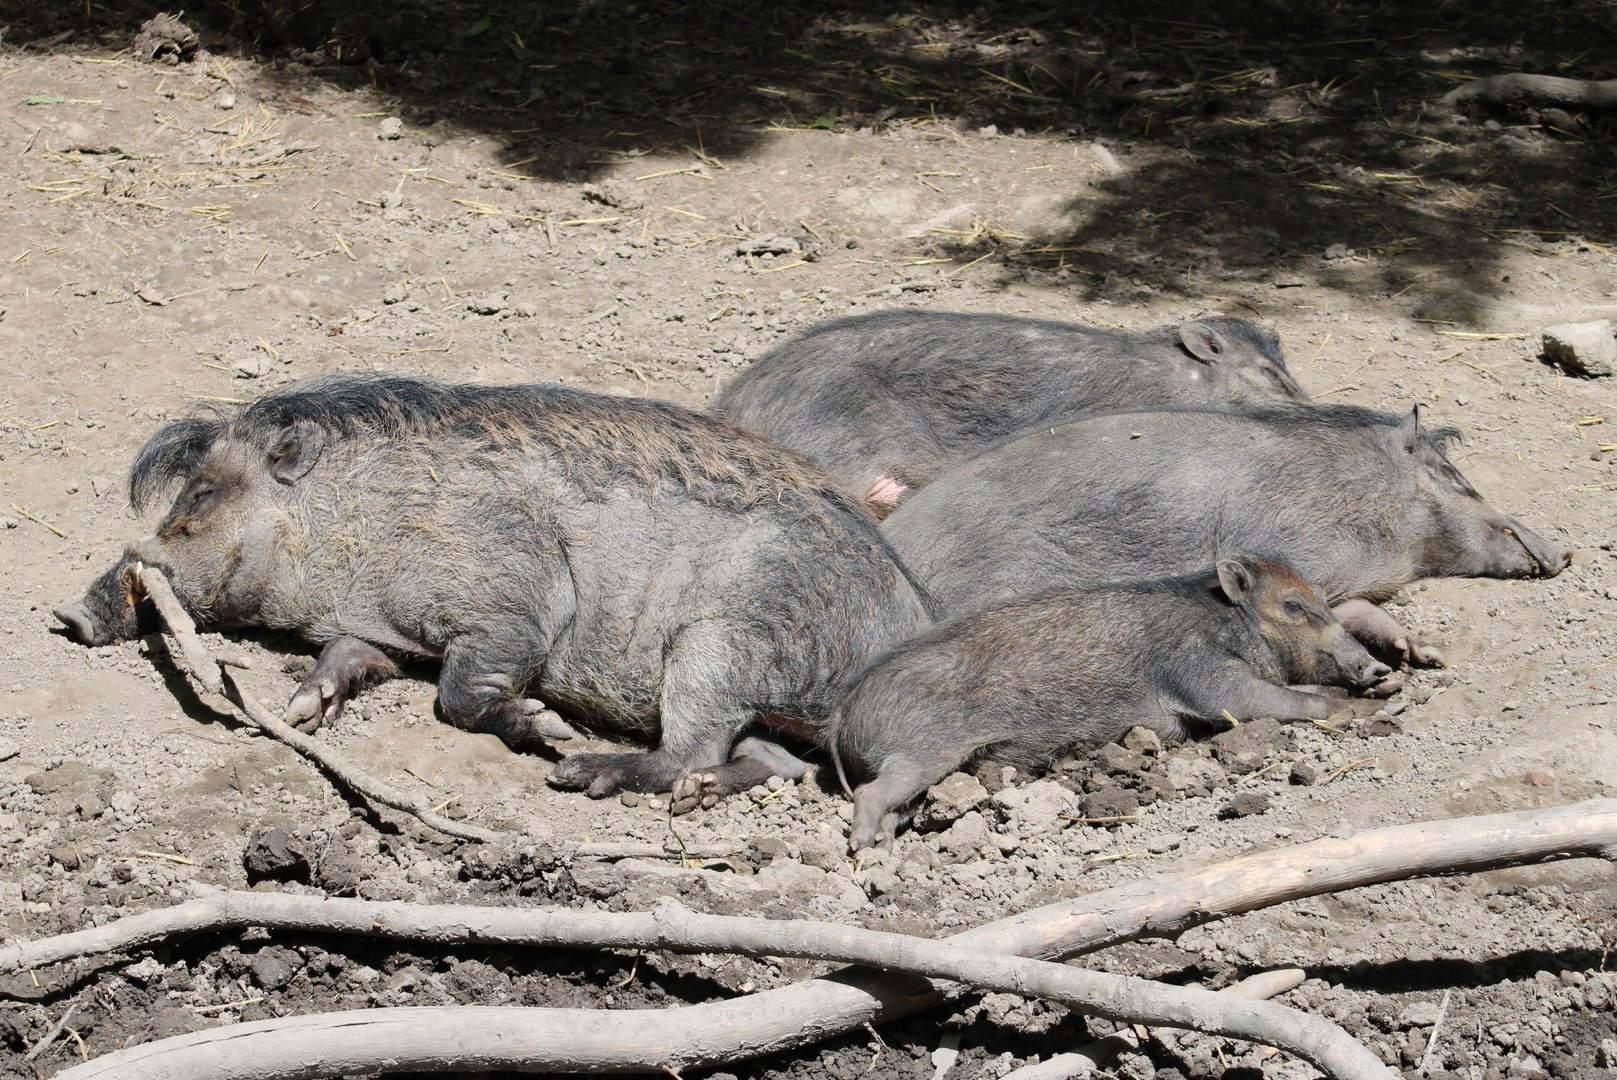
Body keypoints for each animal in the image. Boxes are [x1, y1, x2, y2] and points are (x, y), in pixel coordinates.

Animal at [54, 372, 934, 799]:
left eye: (202, 497)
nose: (69, 611)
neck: (359, 533)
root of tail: (903, 625)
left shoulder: (514, 599)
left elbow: (458, 696)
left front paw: (547, 727)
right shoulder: (380, 628)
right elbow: (349, 656)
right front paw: (306, 706)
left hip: (719, 648)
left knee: (690, 745)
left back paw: (586, 774)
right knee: (770, 763)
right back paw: (699, 794)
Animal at [831, 556, 1390, 850]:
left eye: (1322, 601)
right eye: (1293, 606)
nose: (1376, 669)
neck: (1228, 622)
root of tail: (841, 716)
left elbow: (1302, 694)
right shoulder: (1208, 680)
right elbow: (1286, 700)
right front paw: (1365, 707)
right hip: (924, 751)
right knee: (871, 795)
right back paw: (862, 850)